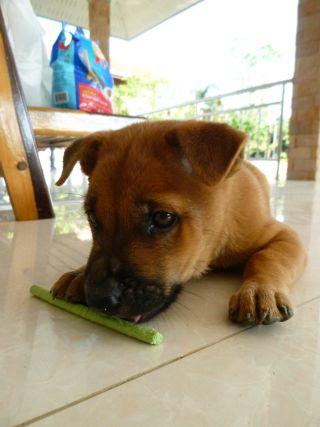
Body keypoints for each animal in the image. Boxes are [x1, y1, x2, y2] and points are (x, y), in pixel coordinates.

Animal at [52, 122, 308, 326]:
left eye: (162, 218)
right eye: (92, 216)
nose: (99, 299)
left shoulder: (284, 235)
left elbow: (267, 258)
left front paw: (260, 290)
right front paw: (78, 274)